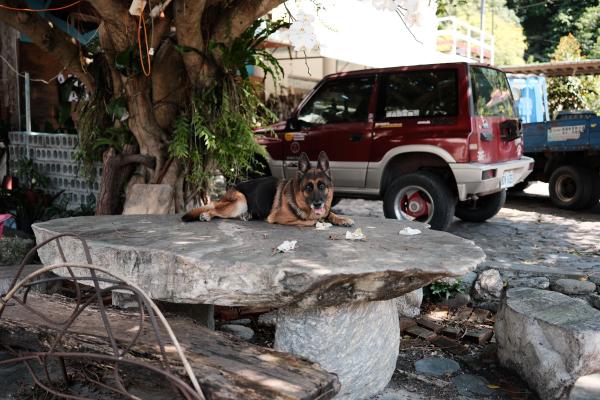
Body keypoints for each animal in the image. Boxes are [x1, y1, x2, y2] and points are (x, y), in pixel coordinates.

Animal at [180, 152, 354, 227]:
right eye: (308, 187)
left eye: (322, 186)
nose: (318, 203)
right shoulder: (279, 217)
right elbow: (310, 220)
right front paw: (318, 220)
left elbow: (329, 213)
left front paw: (342, 219)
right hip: (240, 201)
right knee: (215, 210)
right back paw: (206, 215)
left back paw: (246, 216)